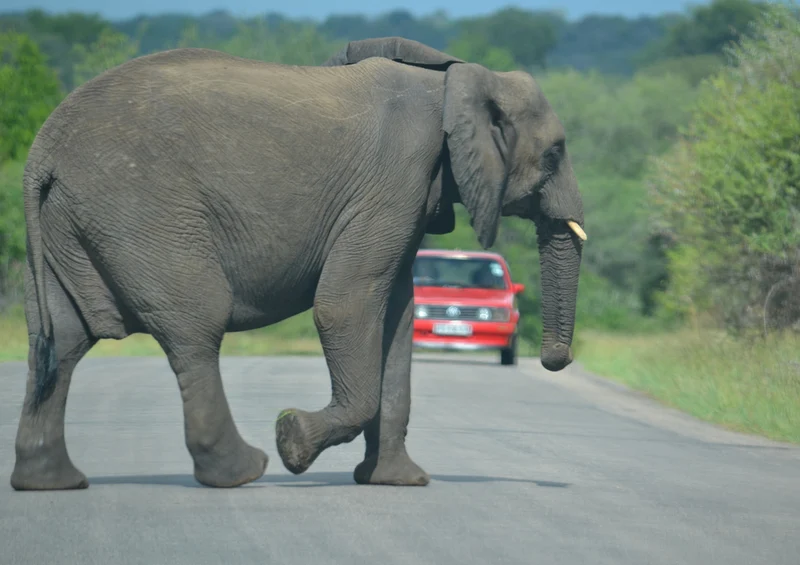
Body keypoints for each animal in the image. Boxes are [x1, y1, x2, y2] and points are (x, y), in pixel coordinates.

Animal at [10, 36, 586, 492]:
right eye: (554, 154)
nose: (554, 361)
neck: (456, 79)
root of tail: (42, 151)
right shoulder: (394, 180)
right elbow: (344, 306)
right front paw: (292, 440)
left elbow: (397, 321)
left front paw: (399, 482)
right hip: (141, 212)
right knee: (195, 325)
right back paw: (243, 471)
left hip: (74, 222)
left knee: (61, 340)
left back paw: (51, 483)